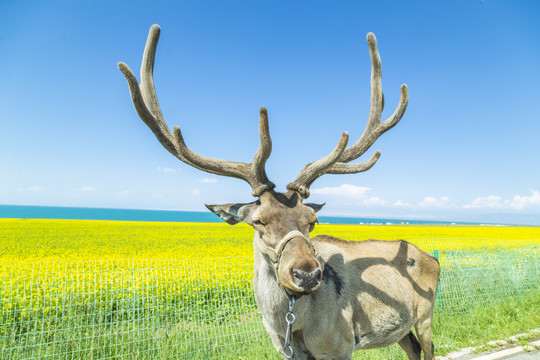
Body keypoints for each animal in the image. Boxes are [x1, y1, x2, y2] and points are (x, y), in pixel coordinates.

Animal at [118, 25, 438, 360]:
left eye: (312, 221)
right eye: (258, 221)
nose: (307, 274)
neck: (290, 325)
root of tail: (430, 256)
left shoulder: (339, 345)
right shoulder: (287, 350)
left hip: (427, 314)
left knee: (428, 348)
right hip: (401, 328)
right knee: (412, 349)